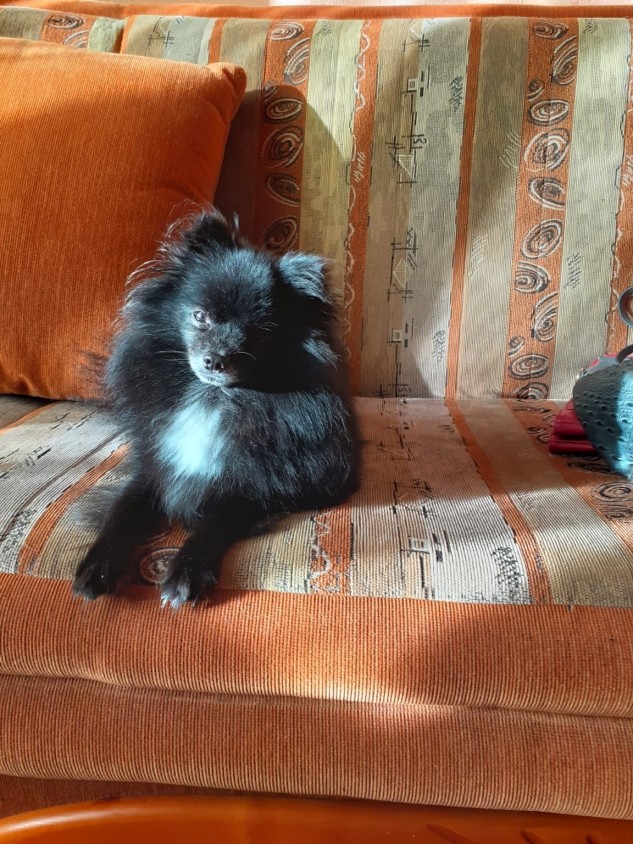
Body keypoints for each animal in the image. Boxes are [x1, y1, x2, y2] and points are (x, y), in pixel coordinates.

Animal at [72, 209, 360, 608]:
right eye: (200, 316)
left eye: (259, 335)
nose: (214, 360)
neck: (213, 398)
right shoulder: (157, 468)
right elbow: (122, 513)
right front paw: (97, 566)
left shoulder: (262, 487)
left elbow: (217, 521)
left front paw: (186, 573)